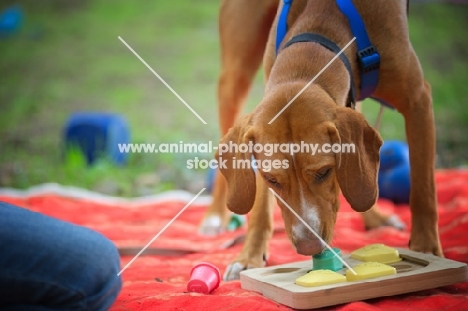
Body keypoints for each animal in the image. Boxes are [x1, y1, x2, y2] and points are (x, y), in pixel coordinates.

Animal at [200, 0, 442, 280]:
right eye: (271, 180)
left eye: (325, 172)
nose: (309, 247)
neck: (321, 28)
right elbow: (260, 207)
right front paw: (249, 258)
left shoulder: (418, 100)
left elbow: (424, 189)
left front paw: (427, 250)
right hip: (234, 76)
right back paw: (215, 216)